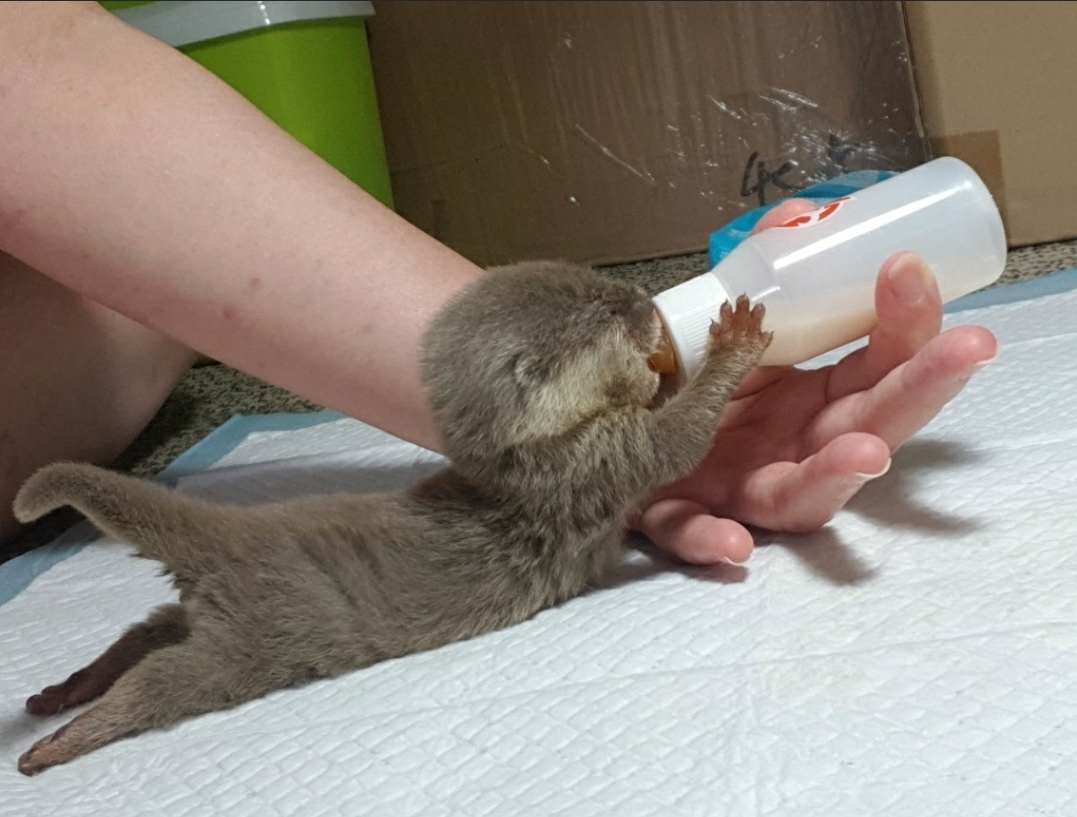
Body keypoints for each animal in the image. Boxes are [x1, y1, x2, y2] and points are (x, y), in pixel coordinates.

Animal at [8, 260, 766, 775]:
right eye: (607, 311)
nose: (644, 303)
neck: (526, 455)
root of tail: (230, 537)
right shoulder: (593, 462)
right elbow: (677, 437)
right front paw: (734, 339)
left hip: (201, 613)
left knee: (141, 634)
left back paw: (66, 689)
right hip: (246, 643)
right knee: (159, 680)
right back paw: (63, 739)